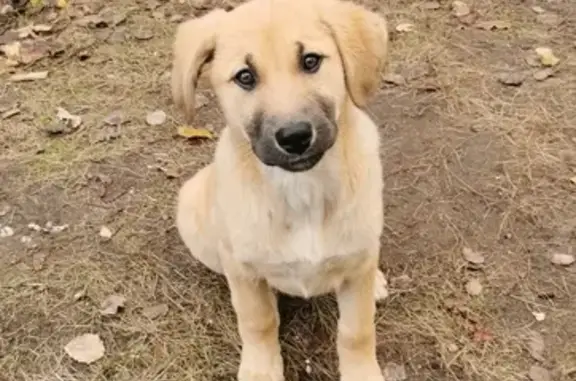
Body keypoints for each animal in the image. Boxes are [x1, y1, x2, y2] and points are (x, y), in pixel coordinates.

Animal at [174, 1, 392, 378]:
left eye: (311, 61)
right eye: (245, 76)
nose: (294, 137)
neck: (303, 190)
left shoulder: (356, 270)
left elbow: (356, 331)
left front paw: (362, 372)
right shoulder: (244, 271)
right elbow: (258, 321)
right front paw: (261, 369)